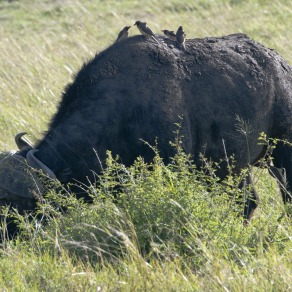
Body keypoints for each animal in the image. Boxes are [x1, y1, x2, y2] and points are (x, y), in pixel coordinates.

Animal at [0, 33, 292, 236]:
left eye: (15, 204)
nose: (6, 238)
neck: (123, 106)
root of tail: (281, 66)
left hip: (278, 156)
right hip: (233, 166)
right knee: (248, 201)